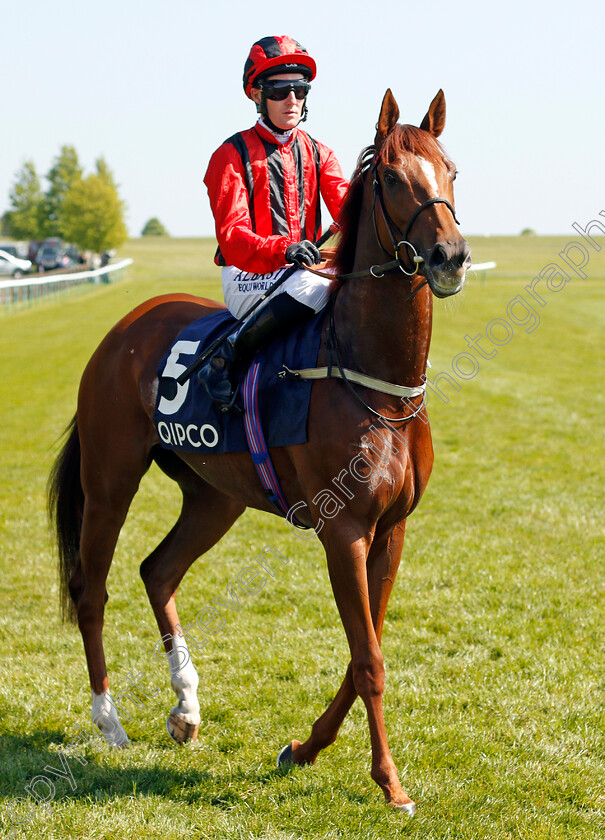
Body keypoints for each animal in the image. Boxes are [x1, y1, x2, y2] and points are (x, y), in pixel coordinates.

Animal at [48, 87, 472, 812]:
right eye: (392, 177)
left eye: (450, 170)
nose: (449, 255)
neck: (375, 383)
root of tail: (123, 328)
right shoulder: (345, 530)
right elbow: (368, 660)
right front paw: (389, 782)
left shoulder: (392, 530)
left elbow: (363, 651)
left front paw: (303, 749)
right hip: (110, 480)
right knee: (90, 587)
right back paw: (109, 721)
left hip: (215, 496)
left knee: (158, 570)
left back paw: (185, 709)